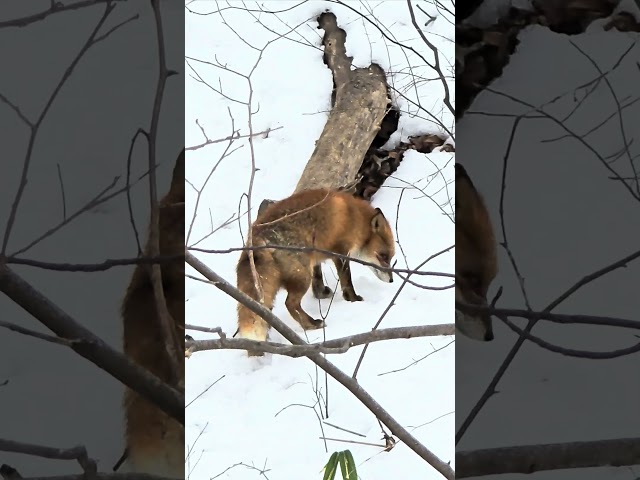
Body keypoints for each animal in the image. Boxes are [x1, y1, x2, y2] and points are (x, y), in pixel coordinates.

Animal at [236, 189, 392, 354]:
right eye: (383, 256)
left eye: (390, 257)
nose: (391, 279)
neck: (355, 217)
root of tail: (257, 237)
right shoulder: (340, 252)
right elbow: (346, 280)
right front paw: (353, 299)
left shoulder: (316, 256)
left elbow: (318, 278)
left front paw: (321, 293)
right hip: (303, 275)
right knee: (290, 304)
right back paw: (311, 324)